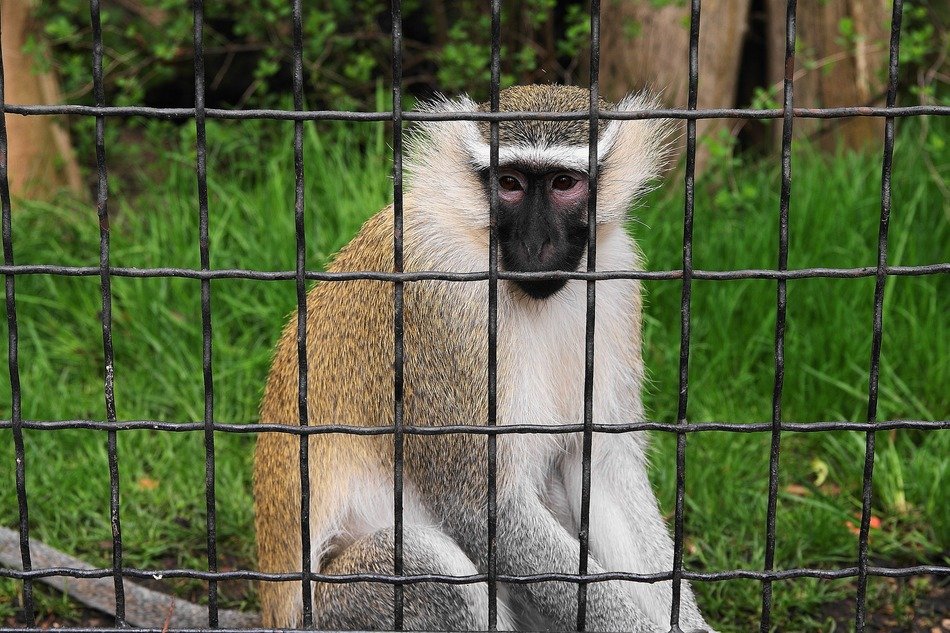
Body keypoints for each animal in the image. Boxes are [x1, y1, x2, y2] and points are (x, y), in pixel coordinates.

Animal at [254, 84, 718, 633]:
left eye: (564, 183)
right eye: (510, 184)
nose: (537, 245)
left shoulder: (616, 276)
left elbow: (603, 470)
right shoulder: (438, 293)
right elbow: (485, 509)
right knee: (424, 561)